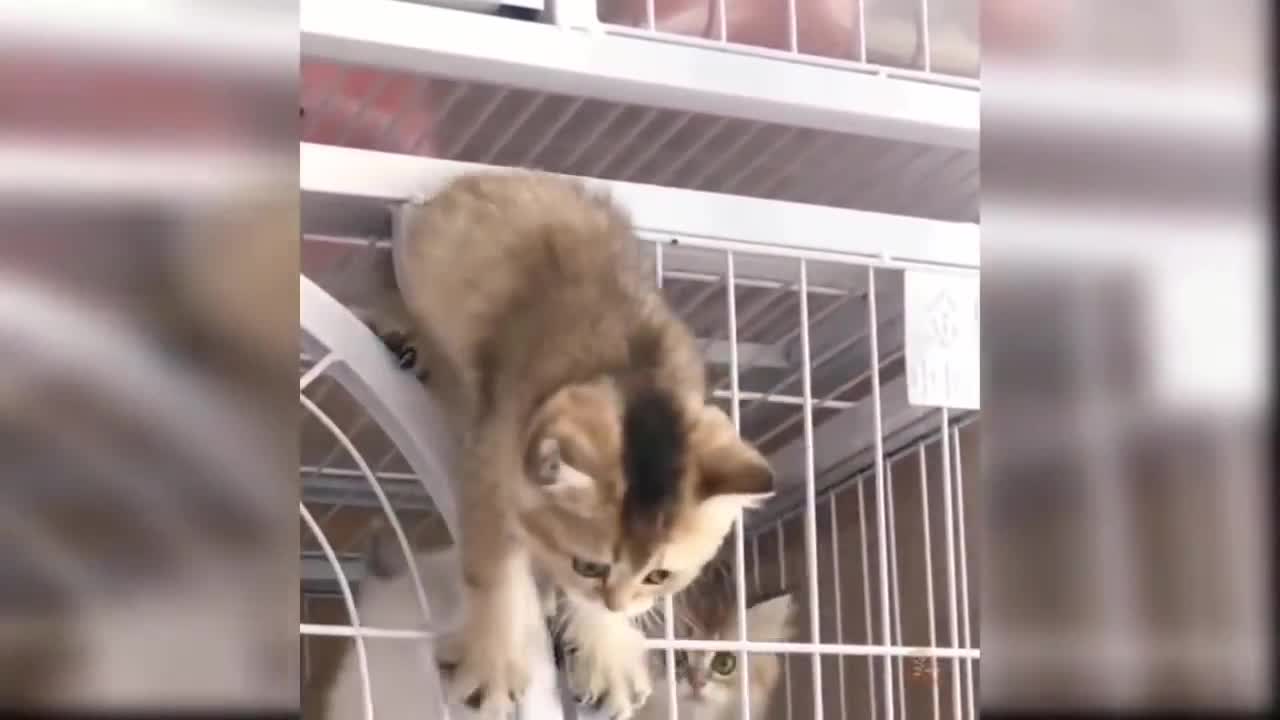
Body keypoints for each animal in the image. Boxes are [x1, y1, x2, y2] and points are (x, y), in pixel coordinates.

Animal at [366, 170, 773, 712]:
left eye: (659, 576)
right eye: (590, 564)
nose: (616, 601)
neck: (635, 368)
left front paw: (607, 649)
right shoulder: (491, 458)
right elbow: (493, 570)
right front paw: (494, 664)